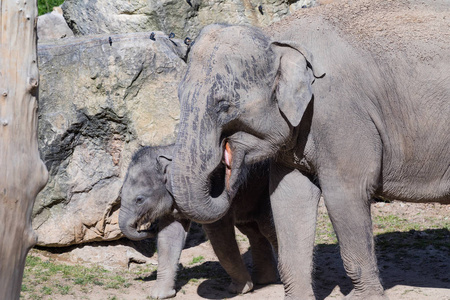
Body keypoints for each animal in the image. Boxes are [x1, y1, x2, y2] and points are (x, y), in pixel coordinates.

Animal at [118, 145, 276, 298]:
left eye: (139, 199)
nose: (150, 227)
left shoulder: (213, 190)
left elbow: (220, 235)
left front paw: (240, 290)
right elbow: (169, 236)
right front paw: (159, 295)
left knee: (267, 228)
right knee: (252, 231)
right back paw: (264, 280)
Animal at [169, 1, 450, 298]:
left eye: (224, 105)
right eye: (178, 95)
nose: (227, 170)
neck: (277, 38)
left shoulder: (340, 114)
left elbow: (345, 194)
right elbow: (288, 196)